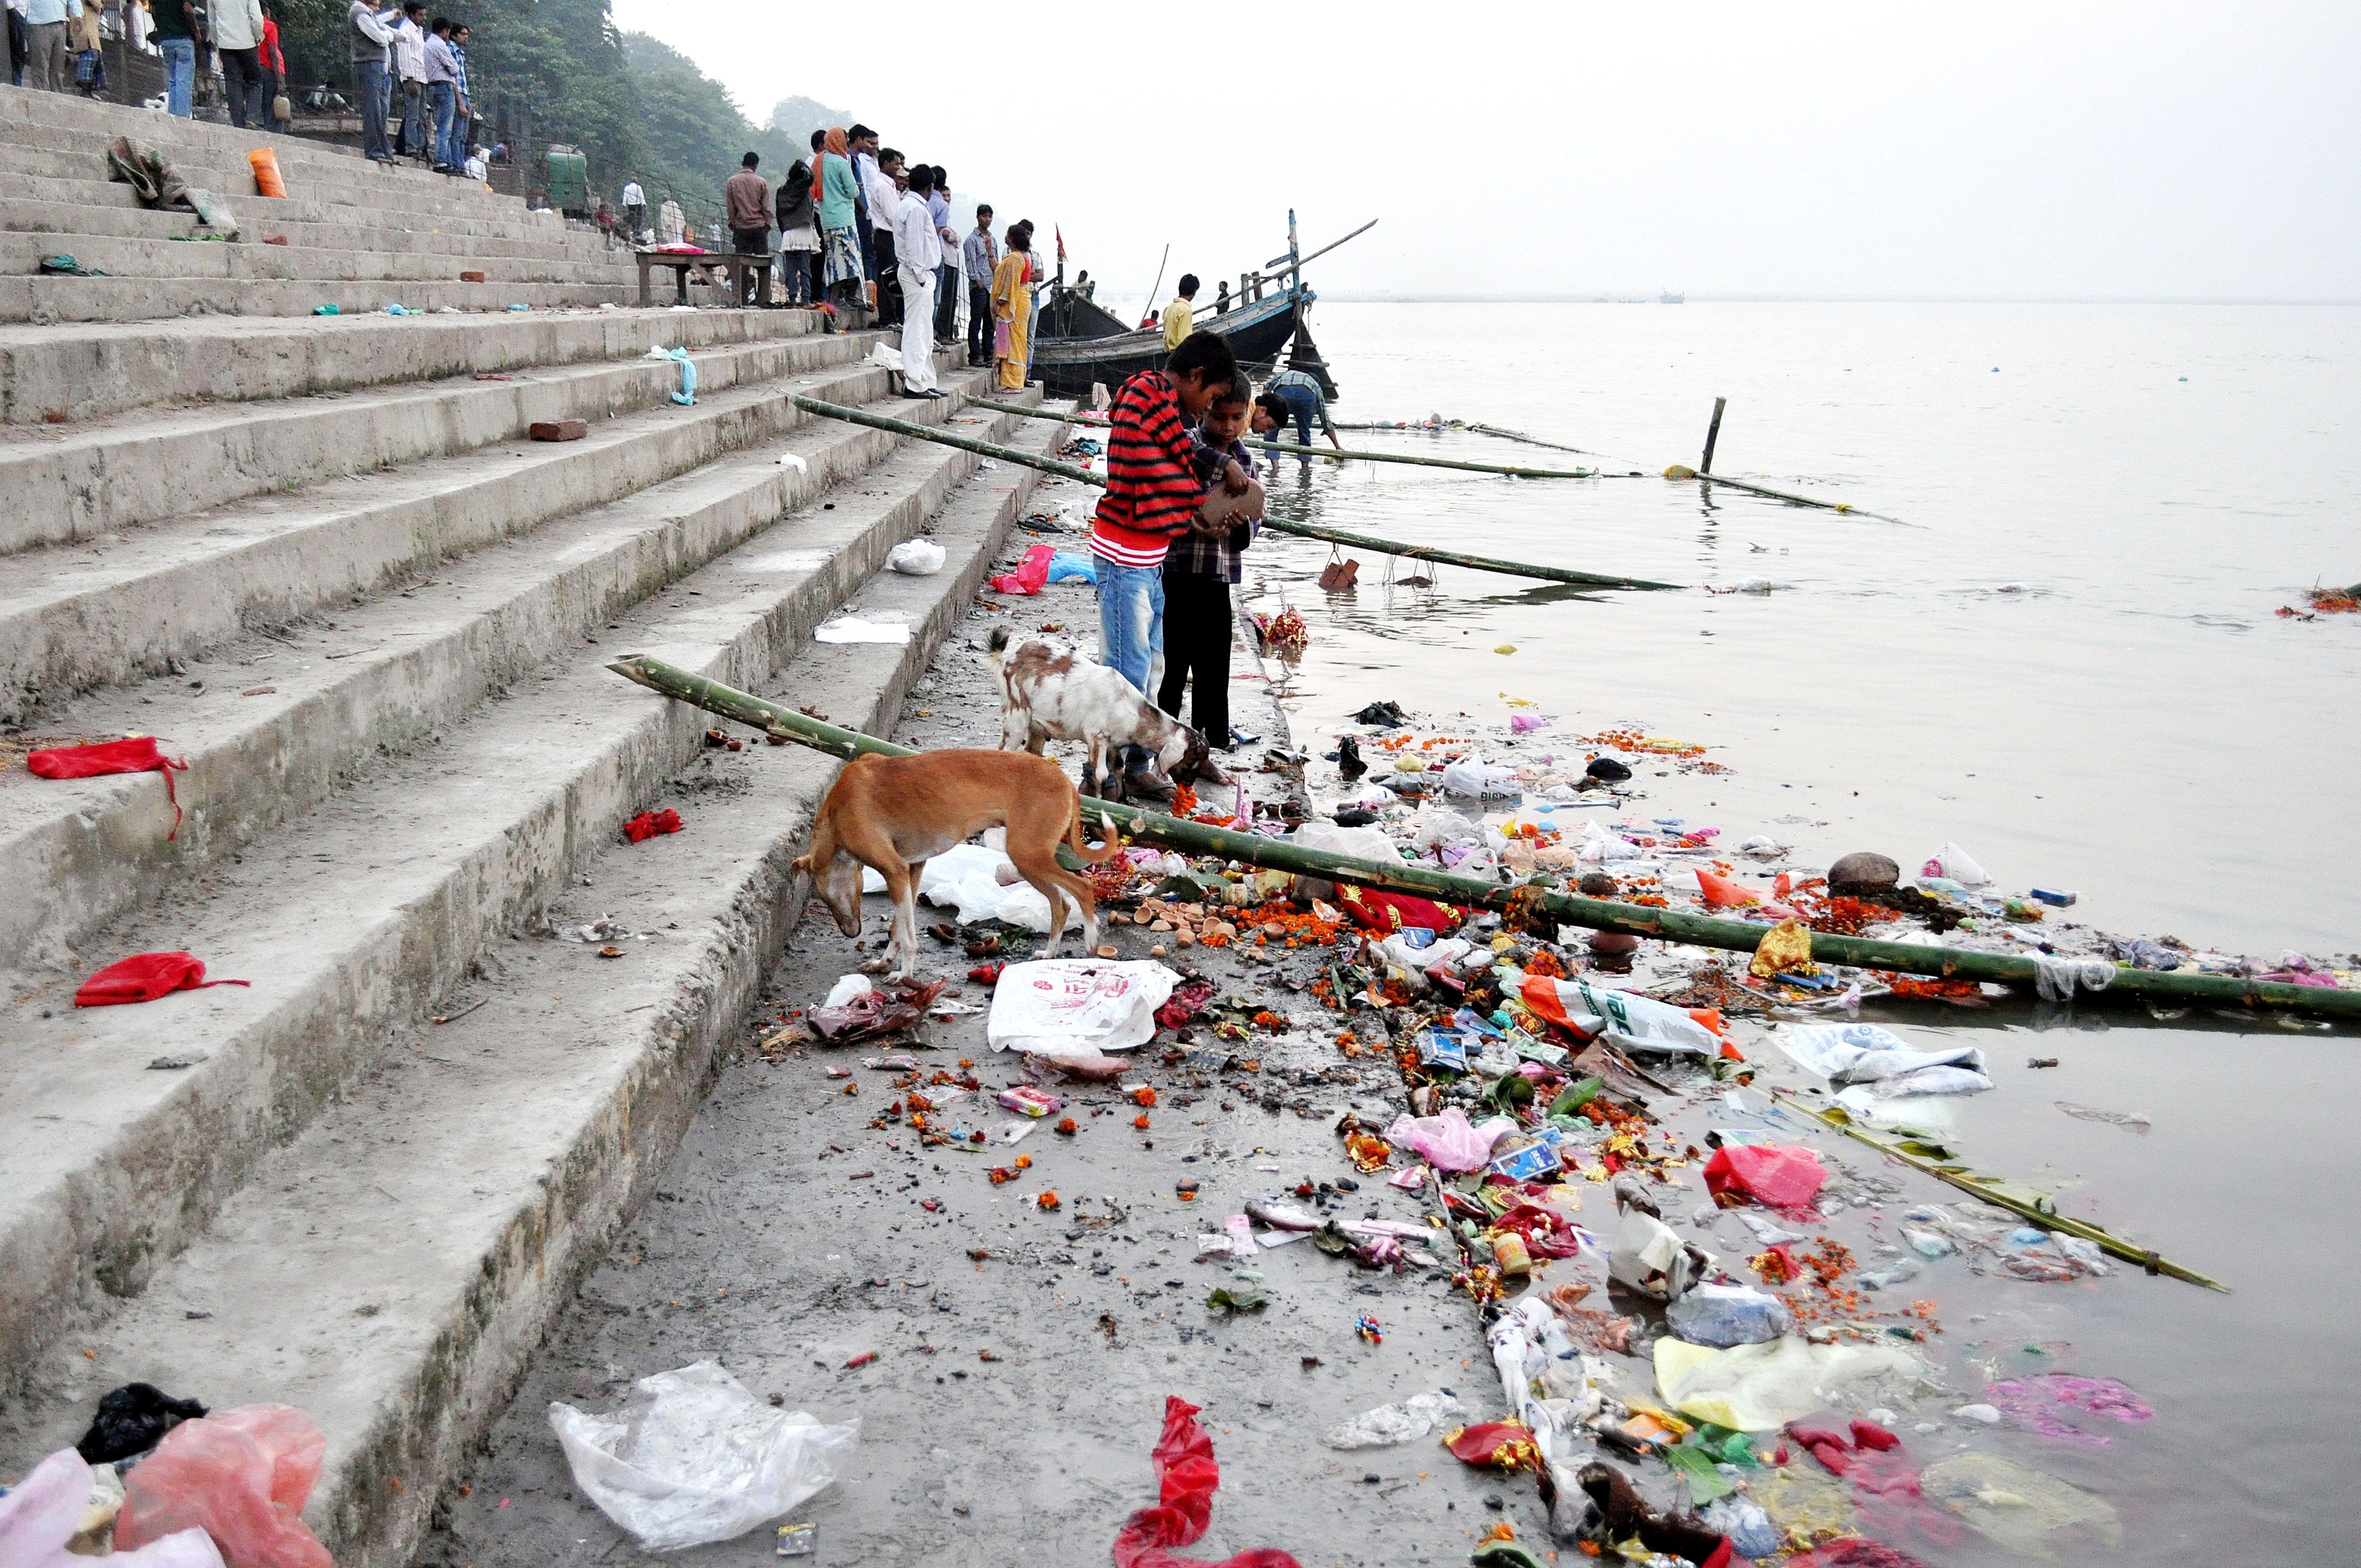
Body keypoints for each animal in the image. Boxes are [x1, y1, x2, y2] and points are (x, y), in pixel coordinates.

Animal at [793, 750, 1124, 982]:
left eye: (823, 897)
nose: (851, 934)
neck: (837, 810)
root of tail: (1066, 781)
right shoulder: (912, 869)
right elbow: (898, 928)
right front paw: (884, 962)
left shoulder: (895, 870)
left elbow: (908, 938)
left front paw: (905, 974)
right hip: (1029, 861)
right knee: (1061, 904)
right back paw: (1050, 953)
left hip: (1028, 855)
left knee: (1083, 889)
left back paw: (1091, 943)